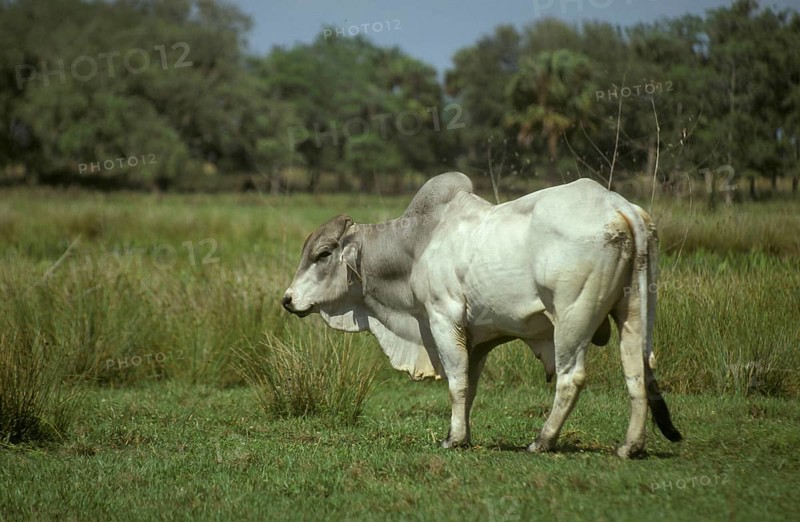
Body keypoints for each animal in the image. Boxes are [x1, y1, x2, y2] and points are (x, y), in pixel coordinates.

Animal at [282, 172, 682, 458]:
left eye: (323, 254)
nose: (288, 300)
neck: (416, 246)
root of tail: (618, 205)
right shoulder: (477, 339)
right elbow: (469, 387)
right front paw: (461, 434)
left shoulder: (443, 320)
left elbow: (456, 383)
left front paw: (454, 439)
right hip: (633, 311)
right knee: (637, 371)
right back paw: (631, 446)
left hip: (572, 317)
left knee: (572, 377)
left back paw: (543, 440)